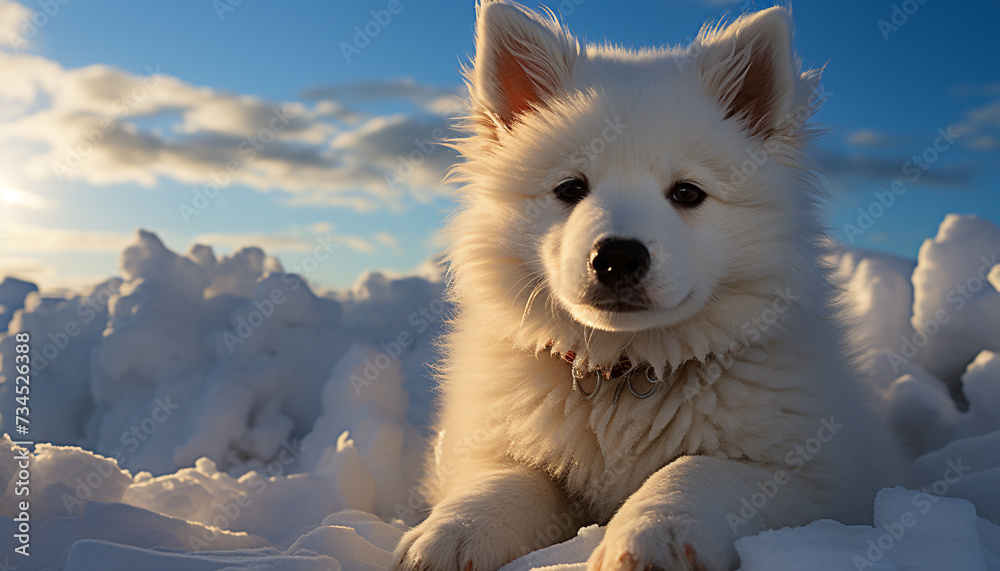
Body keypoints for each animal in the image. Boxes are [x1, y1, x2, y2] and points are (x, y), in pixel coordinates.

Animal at [390, 2, 908, 568]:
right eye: (570, 188)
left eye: (687, 193)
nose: (617, 258)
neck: (624, 374)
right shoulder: (498, 449)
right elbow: (509, 479)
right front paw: (449, 534)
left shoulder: (815, 482)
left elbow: (695, 470)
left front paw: (648, 537)